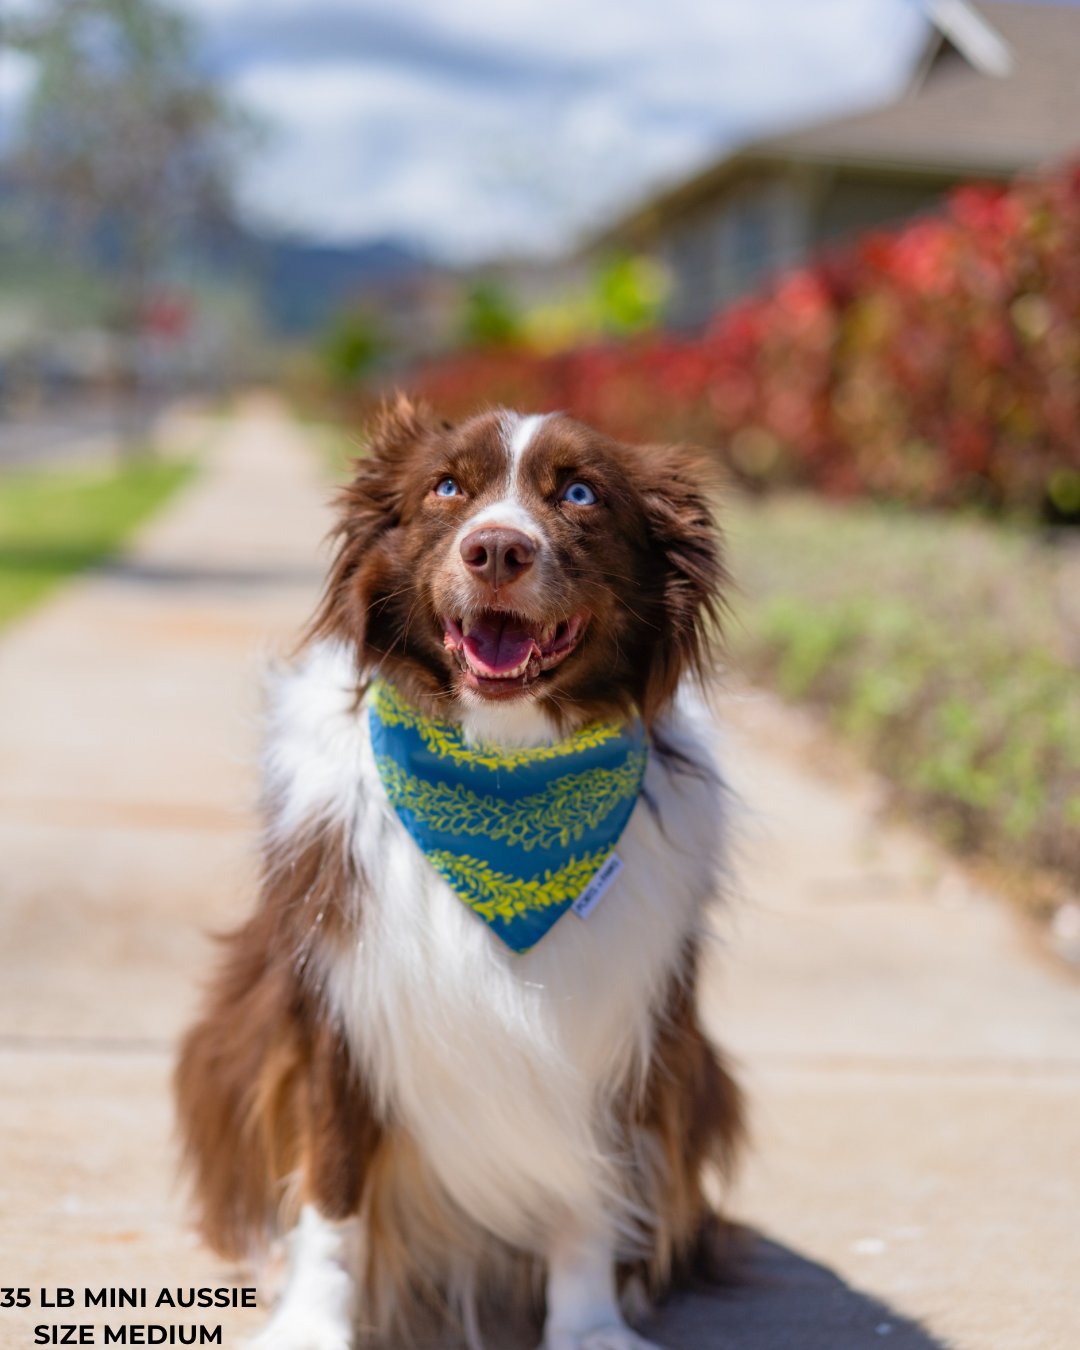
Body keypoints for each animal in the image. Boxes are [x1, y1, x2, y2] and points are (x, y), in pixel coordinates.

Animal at [175, 394, 745, 1344]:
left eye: (581, 493)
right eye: (446, 488)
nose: (497, 549)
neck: (504, 770)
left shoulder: (620, 1026)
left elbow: (586, 1187)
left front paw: (588, 1325)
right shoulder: (336, 1010)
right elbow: (331, 1186)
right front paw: (315, 1320)